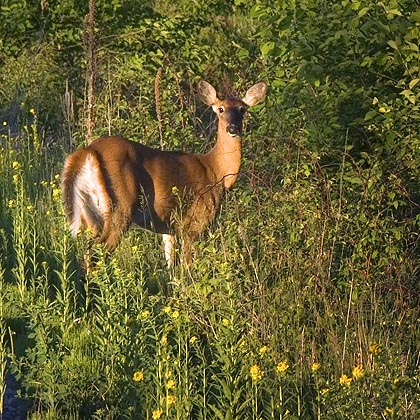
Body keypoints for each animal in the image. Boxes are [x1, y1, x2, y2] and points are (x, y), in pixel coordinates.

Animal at [60, 80, 268, 268]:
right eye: (220, 109)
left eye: (242, 109)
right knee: (94, 257)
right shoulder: (193, 223)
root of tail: (88, 150)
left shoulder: (169, 229)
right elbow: (186, 268)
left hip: (90, 216)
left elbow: (171, 268)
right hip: (120, 207)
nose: (233, 128)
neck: (216, 172)